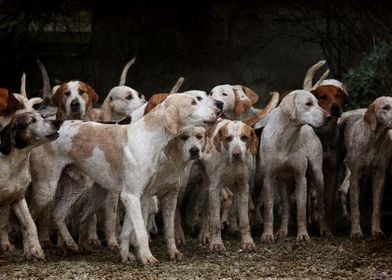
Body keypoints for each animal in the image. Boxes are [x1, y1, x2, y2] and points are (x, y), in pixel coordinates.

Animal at [260, 90, 330, 243]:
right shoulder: (268, 178)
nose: (329, 116)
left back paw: (325, 230)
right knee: (286, 207)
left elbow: (301, 209)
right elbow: (268, 210)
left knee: (321, 206)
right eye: (308, 104)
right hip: (282, 184)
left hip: (318, 175)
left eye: (318, 103)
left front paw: (303, 235)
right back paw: (282, 231)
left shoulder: (300, 178)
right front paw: (267, 235)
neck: (285, 136)